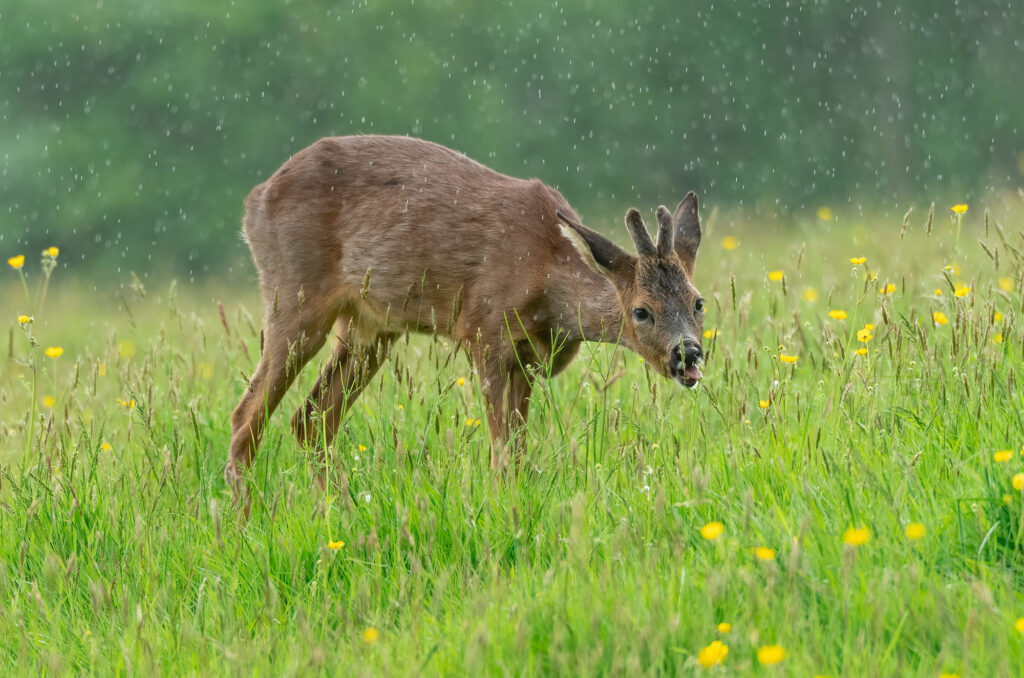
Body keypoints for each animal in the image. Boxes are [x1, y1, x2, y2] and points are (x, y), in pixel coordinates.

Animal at [226, 134, 704, 503]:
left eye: (698, 302)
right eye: (641, 310)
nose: (688, 353)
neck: (546, 275)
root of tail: (253, 200)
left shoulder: (529, 360)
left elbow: (518, 451)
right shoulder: (485, 332)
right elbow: (502, 452)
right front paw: (505, 509)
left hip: (370, 328)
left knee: (311, 418)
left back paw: (339, 510)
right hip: (293, 296)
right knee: (247, 416)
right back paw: (243, 523)